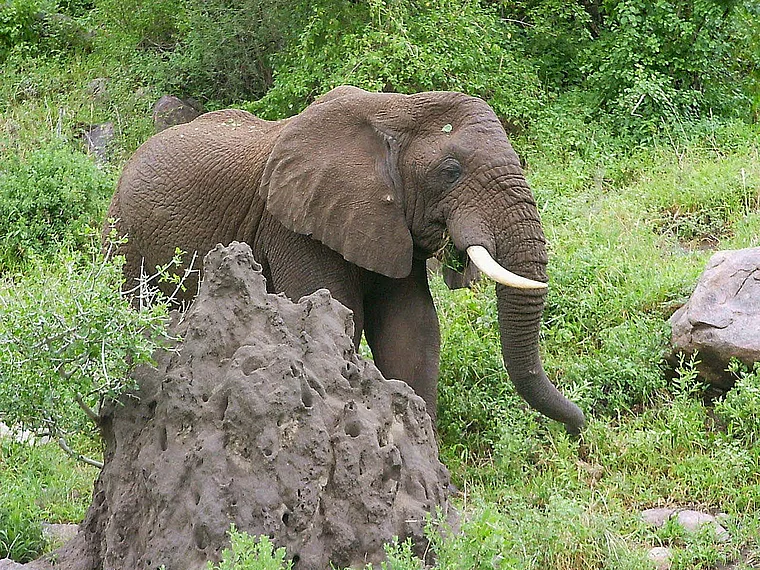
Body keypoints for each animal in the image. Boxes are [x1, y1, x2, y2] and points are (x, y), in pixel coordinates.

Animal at [103, 85, 585, 433]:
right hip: (122, 233)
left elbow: (412, 327)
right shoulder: (293, 225)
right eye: (451, 171)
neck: (396, 110)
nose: (577, 428)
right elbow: (337, 316)